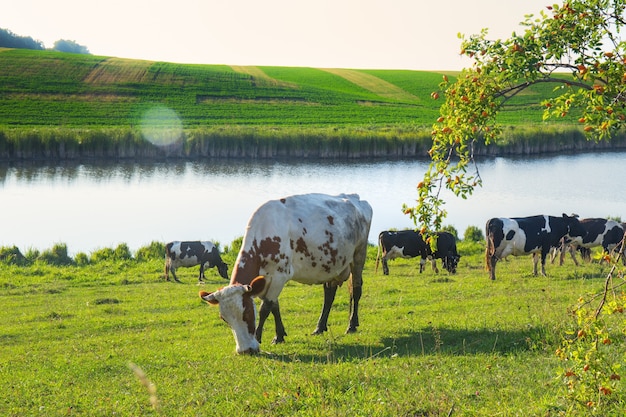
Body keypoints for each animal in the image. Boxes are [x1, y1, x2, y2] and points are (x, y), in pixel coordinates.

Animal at [197, 193, 370, 352]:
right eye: (224, 319)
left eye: (247, 314)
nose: (245, 350)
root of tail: (353, 197)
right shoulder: (266, 280)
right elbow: (274, 306)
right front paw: (279, 335)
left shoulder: (279, 276)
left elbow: (265, 308)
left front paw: (259, 337)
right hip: (331, 265)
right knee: (329, 295)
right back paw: (320, 327)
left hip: (359, 255)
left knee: (356, 290)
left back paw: (351, 325)